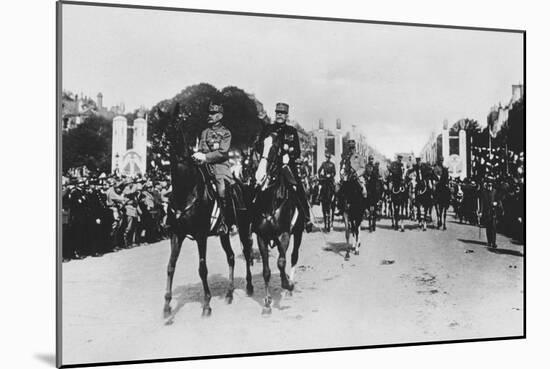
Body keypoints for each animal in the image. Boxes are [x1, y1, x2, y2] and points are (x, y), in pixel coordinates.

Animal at [160, 105, 254, 318]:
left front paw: (206, 305)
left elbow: (202, 268)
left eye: (175, 125)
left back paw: (249, 286)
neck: (186, 189)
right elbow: (170, 266)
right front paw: (167, 307)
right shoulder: (176, 234)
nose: (161, 144)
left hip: (243, 227)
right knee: (230, 257)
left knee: (246, 251)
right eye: (162, 125)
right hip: (224, 233)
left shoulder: (201, 235)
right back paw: (229, 293)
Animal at [254, 132, 306, 314]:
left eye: (276, 148)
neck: (272, 200)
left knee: (293, 256)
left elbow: (281, 262)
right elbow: (266, 271)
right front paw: (267, 303)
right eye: (259, 146)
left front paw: (287, 284)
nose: (260, 176)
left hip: (298, 233)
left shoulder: (284, 234)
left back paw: (289, 286)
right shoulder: (262, 237)